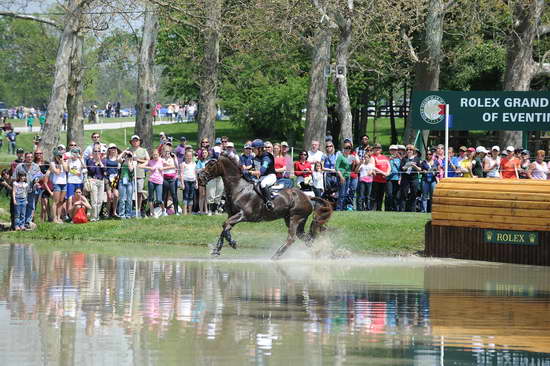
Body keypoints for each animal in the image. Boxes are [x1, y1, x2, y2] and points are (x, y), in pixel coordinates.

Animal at [199, 156, 334, 258]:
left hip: (295, 218)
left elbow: (225, 225)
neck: (239, 188)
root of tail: (308, 197)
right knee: (306, 238)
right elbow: (225, 228)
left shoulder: (243, 214)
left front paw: (232, 243)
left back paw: (275, 256)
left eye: (211, 165)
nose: (200, 178)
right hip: (295, 220)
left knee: (291, 238)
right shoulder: (232, 215)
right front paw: (217, 250)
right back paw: (322, 254)